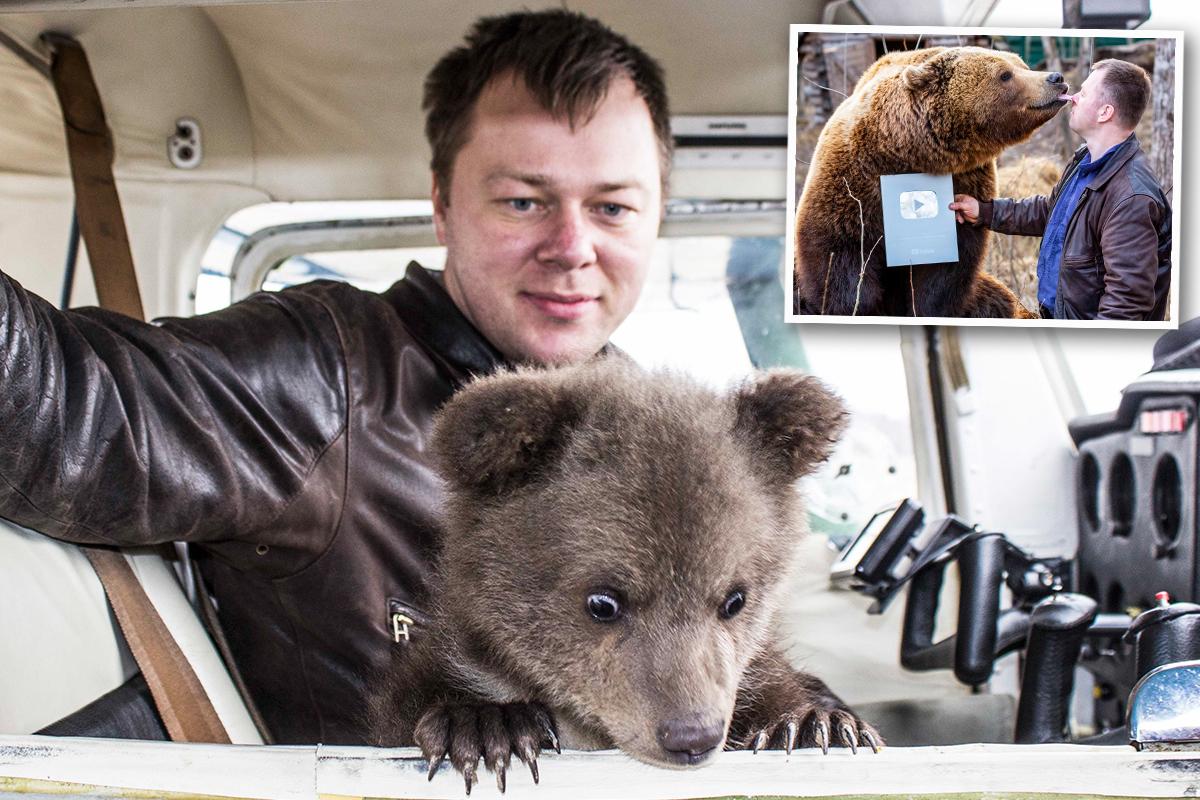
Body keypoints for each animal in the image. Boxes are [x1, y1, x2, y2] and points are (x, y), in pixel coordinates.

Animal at [793, 45, 1069, 319]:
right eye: (1005, 74)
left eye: (1022, 65)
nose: (1056, 78)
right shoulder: (854, 180)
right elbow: (838, 252)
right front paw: (860, 305)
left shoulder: (966, 178)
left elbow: (945, 270)